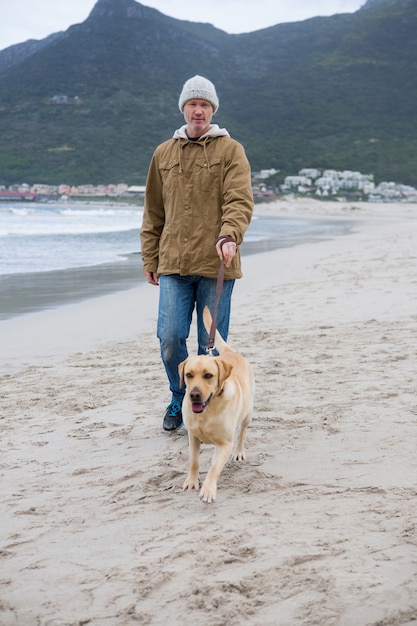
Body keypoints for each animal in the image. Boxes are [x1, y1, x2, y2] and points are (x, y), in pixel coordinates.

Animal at [179, 306, 254, 502]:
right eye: (189, 375)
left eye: (208, 375)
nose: (194, 394)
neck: (208, 410)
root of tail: (229, 353)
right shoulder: (193, 436)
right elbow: (193, 461)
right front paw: (192, 481)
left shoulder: (226, 443)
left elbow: (214, 469)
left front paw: (208, 490)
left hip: (247, 415)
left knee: (242, 433)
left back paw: (239, 452)